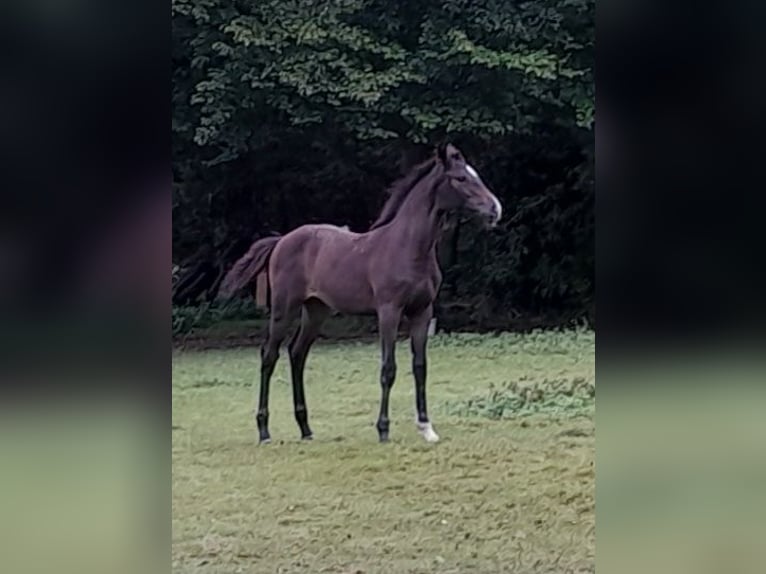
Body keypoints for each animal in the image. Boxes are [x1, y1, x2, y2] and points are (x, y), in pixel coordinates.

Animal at [219, 144, 504, 446]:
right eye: (460, 178)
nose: (495, 209)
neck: (408, 247)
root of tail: (281, 240)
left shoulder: (422, 312)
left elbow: (420, 366)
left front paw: (426, 428)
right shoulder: (389, 311)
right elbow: (388, 368)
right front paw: (383, 429)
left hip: (316, 310)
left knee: (297, 354)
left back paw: (306, 428)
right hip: (285, 308)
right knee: (269, 356)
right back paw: (264, 431)